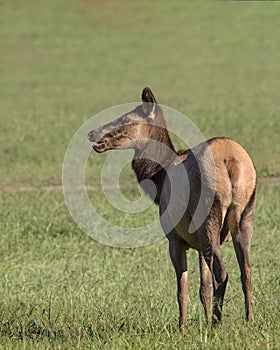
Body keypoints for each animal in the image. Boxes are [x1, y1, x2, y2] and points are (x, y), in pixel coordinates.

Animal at [87, 87, 256, 330]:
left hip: (209, 217)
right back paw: (248, 320)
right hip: (245, 215)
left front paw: (182, 327)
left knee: (222, 273)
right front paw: (202, 321)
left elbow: (182, 290)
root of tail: (231, 160)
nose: (92, 133)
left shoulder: (174, 239)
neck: (158, 178)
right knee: (247, 272)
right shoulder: (197, 244)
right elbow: (202, 288)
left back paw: (217, 324)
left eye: (126, 119)